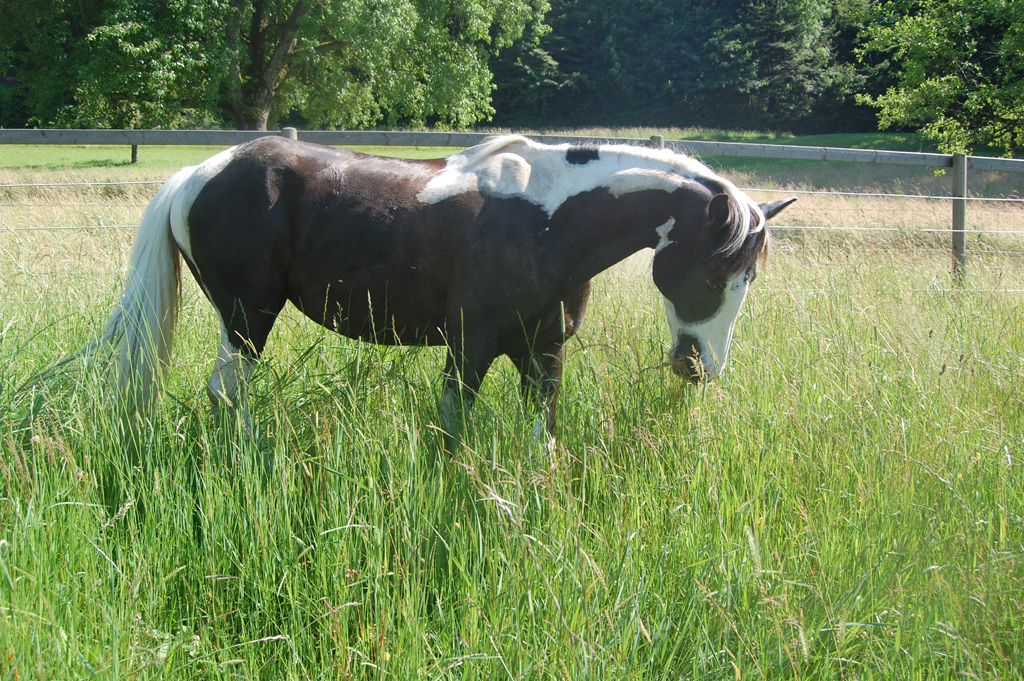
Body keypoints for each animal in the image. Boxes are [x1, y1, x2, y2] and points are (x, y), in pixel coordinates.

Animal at [97, 134, 794, 445]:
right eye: (715, 274)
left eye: (751, 278)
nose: (701, 368)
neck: (546, 220)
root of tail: (201, 170)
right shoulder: (470, 347)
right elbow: (452, 433)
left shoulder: (544, 351)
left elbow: (542, 435)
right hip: (247, 317)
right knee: (225, 393)